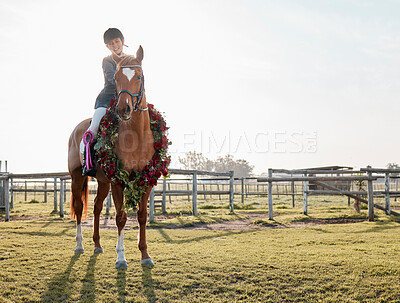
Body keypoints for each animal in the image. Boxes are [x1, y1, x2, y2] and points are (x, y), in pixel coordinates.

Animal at [67, 45, 155, 268]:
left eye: (139, 76)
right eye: (115, 78)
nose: (124, 109)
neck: (136, 136)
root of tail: (77, 129)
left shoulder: (145, 180)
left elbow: (142, 216)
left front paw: (145, 255)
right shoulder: (118, 181)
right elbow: (121, 217)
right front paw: (121, 258)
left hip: (103, 181)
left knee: (97, 207)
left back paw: (97, 245)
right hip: (77, 176)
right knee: (80, 208)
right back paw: (79, 245)